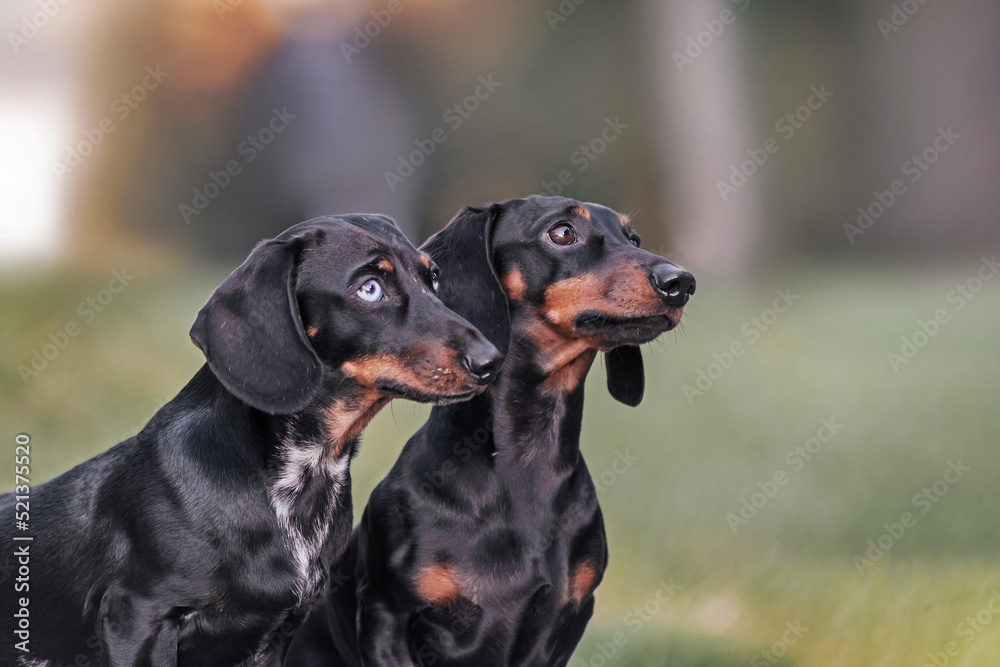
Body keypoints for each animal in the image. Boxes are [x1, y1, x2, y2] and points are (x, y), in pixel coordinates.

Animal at [0, 215, 500, 667]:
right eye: (370, 288)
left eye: (432, 279)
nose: (491, 361)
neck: (301, 480)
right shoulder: (137, 616)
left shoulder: (277, 633)